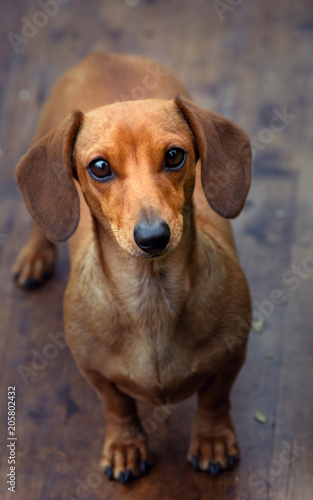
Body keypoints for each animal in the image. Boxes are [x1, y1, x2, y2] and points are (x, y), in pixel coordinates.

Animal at [13, 52, 251, 482]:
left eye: (174, 155)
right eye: (99, 167)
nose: (153, 237)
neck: (152, 296)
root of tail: (102, 56)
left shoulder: (232, 356)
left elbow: (214, 399)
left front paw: (212, 441)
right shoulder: (94, 371)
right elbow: (117, 406)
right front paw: (126, 446)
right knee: (40, 227)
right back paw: (35, 256)